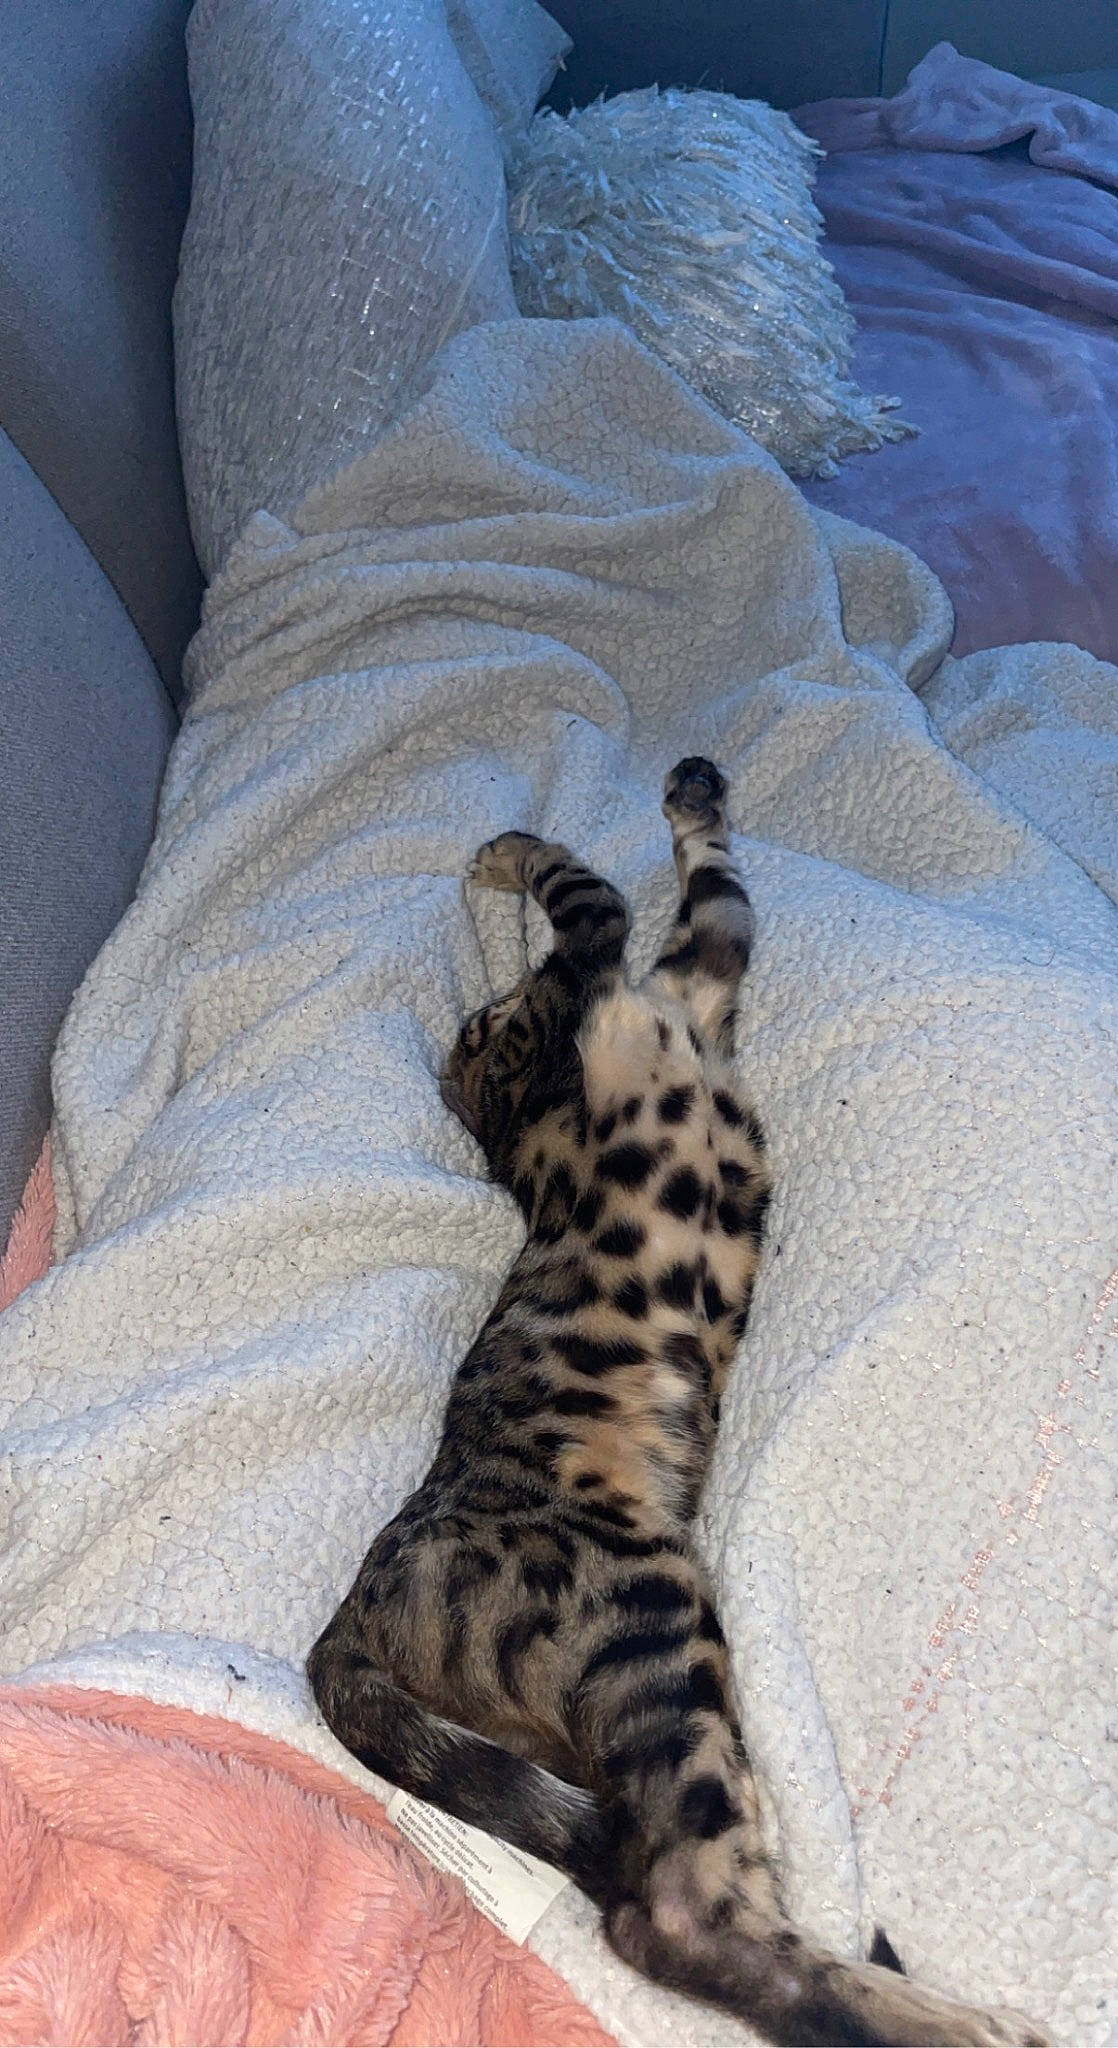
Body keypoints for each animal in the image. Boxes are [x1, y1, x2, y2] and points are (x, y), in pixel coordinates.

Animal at [307, 757, 1047, 2048]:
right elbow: (586, 889)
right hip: (650, 1622)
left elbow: (705, 879)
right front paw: (510, 851)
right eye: (470, 1021)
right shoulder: (611, 987)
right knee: (675, 1914)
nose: (475, 1023)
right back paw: (959, 2022)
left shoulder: (699, 967)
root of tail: (350, 1610)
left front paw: (686, 794)